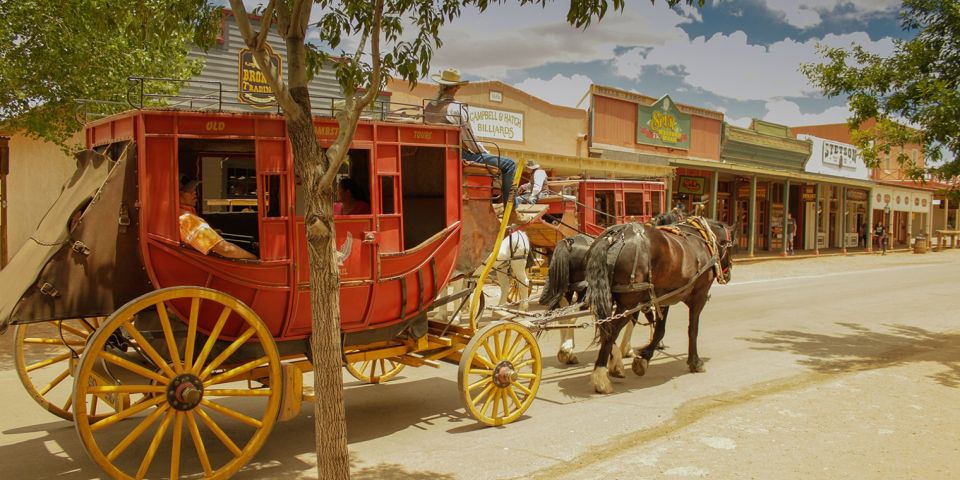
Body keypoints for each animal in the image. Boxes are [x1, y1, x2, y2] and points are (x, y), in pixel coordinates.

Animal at [580, 218, 732, 394]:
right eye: (731, 245)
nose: (728, 274)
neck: (702, 240)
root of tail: (614, 237)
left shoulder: (662, 297)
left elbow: (660, 330)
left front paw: (644, 358)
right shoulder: (699, 296)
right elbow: (693, 330)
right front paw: (695, 362)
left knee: (605, 328)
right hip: (628, 303)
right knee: (610, 333)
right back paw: (601, 377)